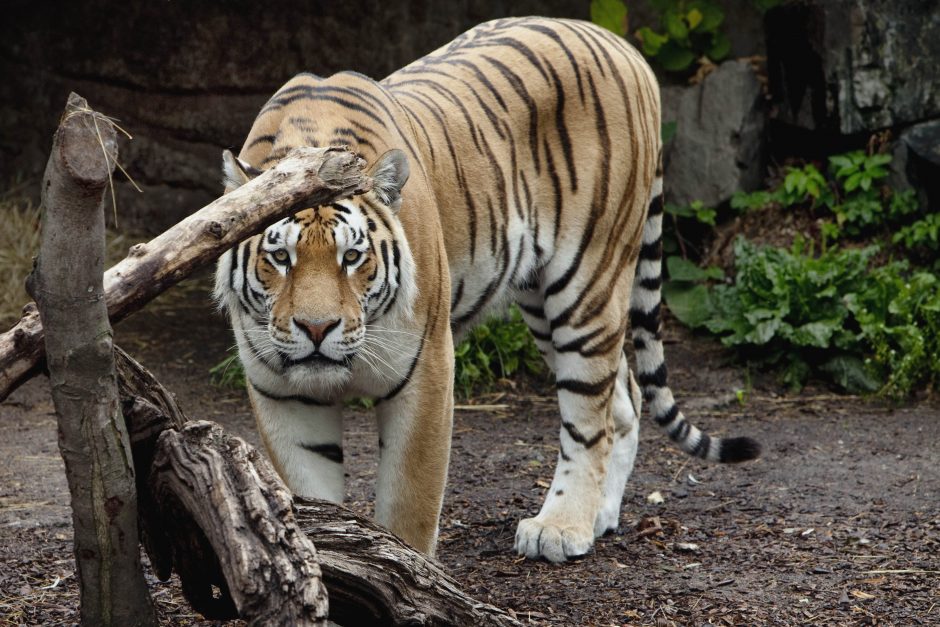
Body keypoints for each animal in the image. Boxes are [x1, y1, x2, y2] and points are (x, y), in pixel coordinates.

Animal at [215, 15, 764, 564]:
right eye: (280, 258)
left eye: (352, 257)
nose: (316, 328)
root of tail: (624, 47)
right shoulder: (283, 392)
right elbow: (308, 493)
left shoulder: (427, 369)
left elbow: (409, 504)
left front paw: (409, 569)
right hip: (540, 300)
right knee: (623, 393)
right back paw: (600, 515)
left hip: (587, 282)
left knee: (590, 415)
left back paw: (561, 527)